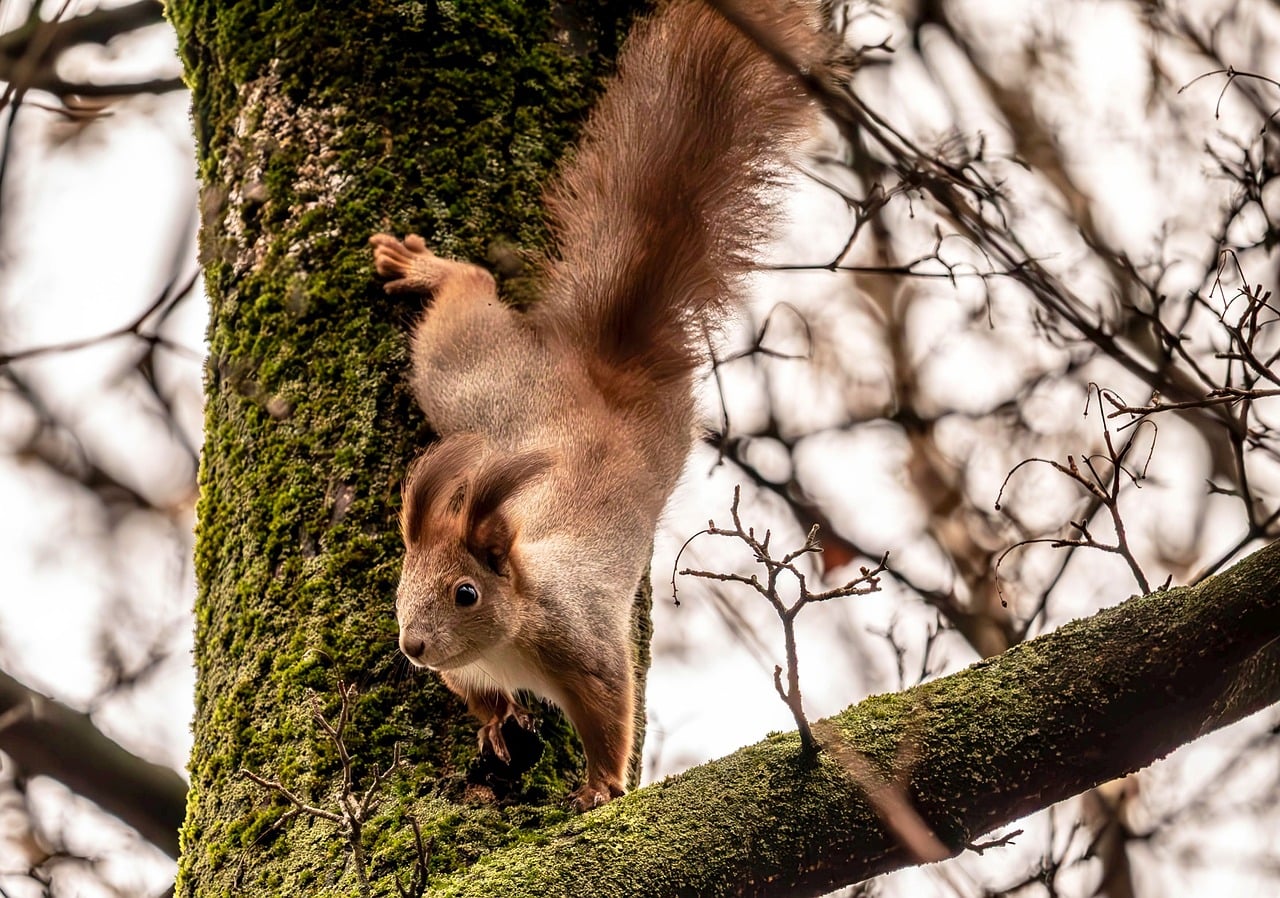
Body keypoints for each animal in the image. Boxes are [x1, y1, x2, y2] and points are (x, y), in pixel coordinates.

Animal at [371, 0, 822, 810]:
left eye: (464, 593)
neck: (510, 630)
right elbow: (478, 697)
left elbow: (613, 710)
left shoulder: (583, 644)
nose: (412, 647)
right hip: (472, 389)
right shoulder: (464, 669)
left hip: (467, 373)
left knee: (470, 288)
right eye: (402, 584)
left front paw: (603, 787)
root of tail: (601, 366)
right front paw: (498, 723)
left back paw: (431, 267)